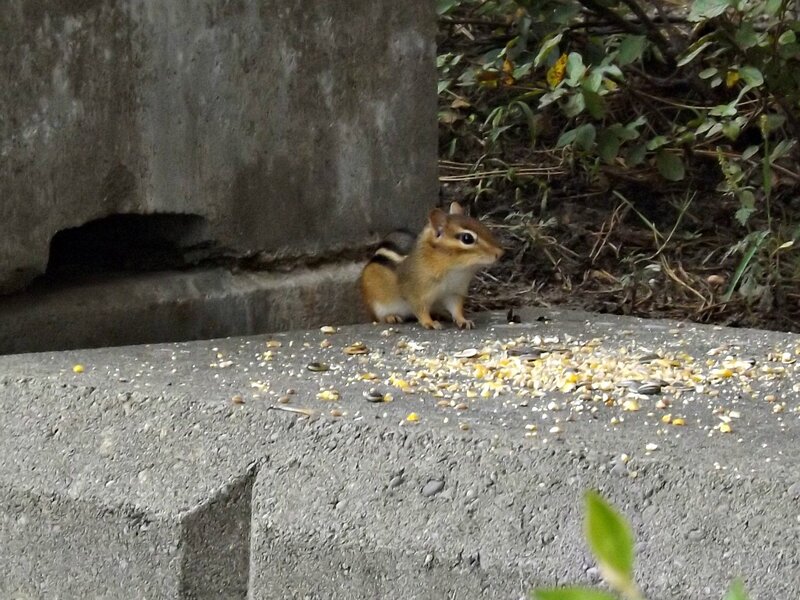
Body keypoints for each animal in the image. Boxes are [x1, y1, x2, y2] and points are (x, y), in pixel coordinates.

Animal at [360, 202, 503, 329]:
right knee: (379, 318)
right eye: (467, 238)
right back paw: (391, 317)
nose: (500, 253)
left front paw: (463, 320)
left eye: (482, 226)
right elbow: (420, 309)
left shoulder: (454, 292)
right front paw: (429, 323)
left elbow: (456, 308)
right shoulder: (416, 293)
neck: (454, 270)